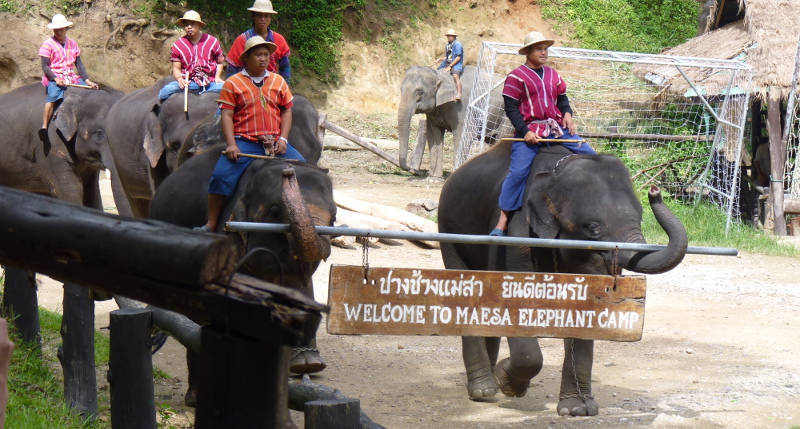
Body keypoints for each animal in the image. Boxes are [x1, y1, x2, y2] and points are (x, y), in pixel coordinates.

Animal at [148, 144, 336, 404]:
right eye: (275, 211)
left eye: (334, 218)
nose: (289, 171)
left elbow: (301, 288)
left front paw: (308, 364)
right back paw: (195, 396)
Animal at [438, 142, 688, 416]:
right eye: (592, 227)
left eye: (641, 217)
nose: (655, 191)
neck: (556, 173)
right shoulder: (517, 235)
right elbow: (513, 300)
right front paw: (510, 384)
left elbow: (586, 309)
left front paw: (578, 410)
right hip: (449, 230)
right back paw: (483, 390)